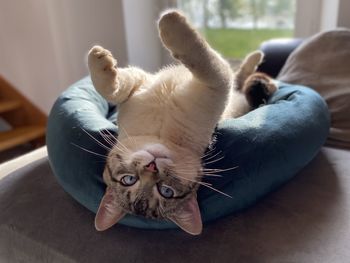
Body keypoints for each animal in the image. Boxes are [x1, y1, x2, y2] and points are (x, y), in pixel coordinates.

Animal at [87, 10, 276, 237]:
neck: (160, 134)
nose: (151, 166)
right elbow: (208, 64)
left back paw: (256, 58)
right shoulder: (212, 86)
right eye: (129, 180)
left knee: (241, 75)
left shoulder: (150, 83)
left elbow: (113, 87)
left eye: (166, 191)